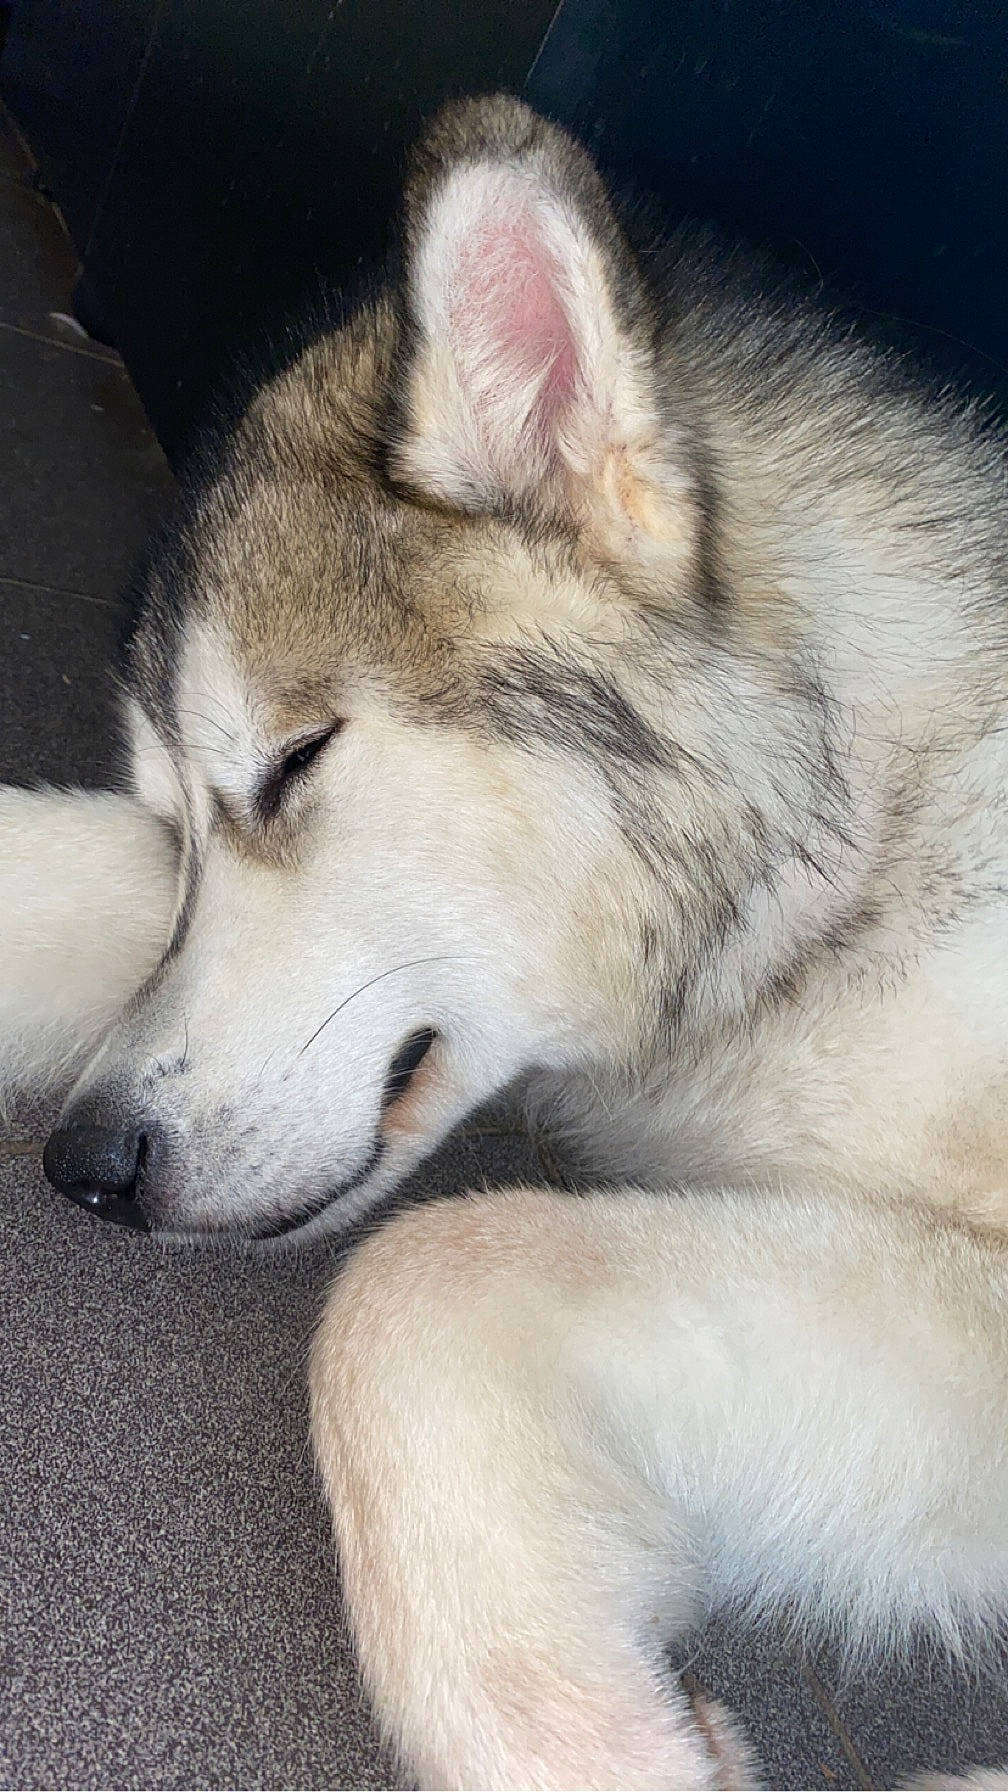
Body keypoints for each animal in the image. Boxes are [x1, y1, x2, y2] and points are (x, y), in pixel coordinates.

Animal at [2, 92, 1008, 1787]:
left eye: (291, 764)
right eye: (178, 819)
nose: (92, 1164)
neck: (848, 847)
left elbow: (425, 1272)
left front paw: (589, 1744)